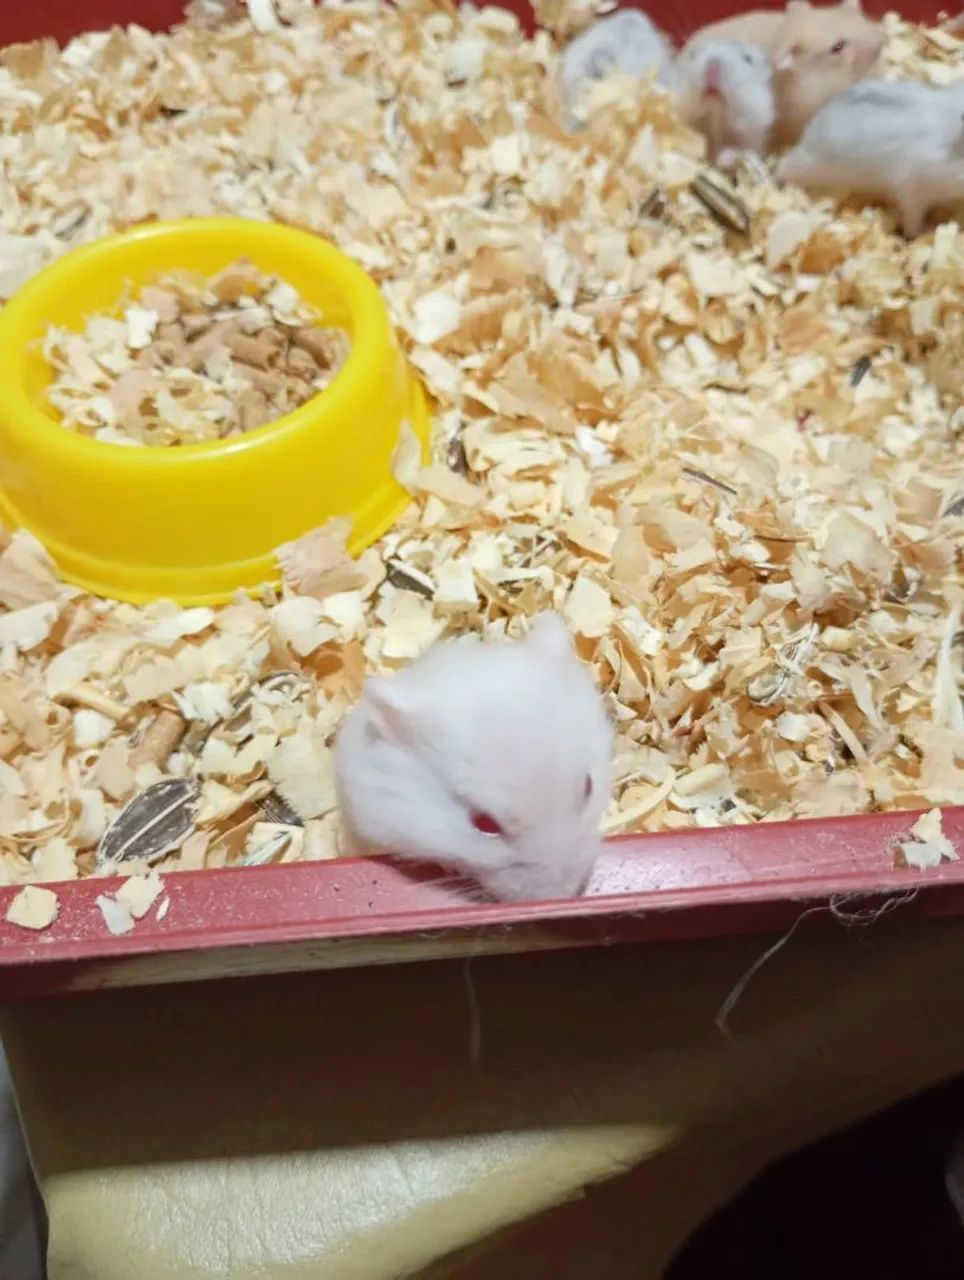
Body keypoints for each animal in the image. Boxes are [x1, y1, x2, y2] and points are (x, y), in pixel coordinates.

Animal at [776, 79, 964, 237]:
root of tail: (808, 131)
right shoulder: (912, 188)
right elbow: (912, 218)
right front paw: (922, 232)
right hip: (808, 165)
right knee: (783, 166)